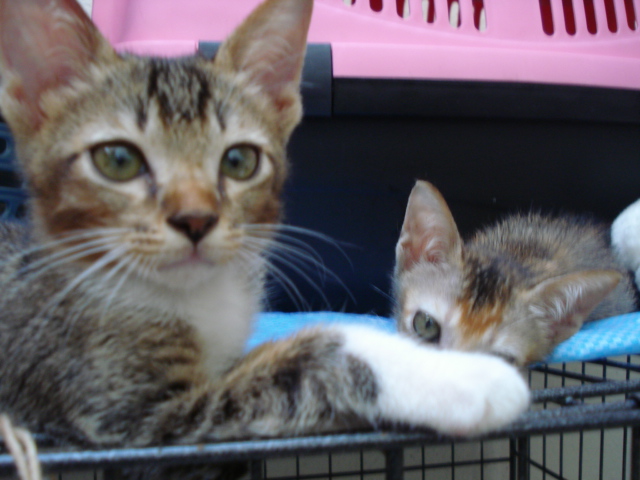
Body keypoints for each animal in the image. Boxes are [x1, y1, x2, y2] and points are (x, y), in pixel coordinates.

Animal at [0, 0, 529, 471]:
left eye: (239, 161)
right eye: (118, 160)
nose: (195, 219)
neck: (197, 295)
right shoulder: (123, 409)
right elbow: (306, 363)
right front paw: (465, 377)